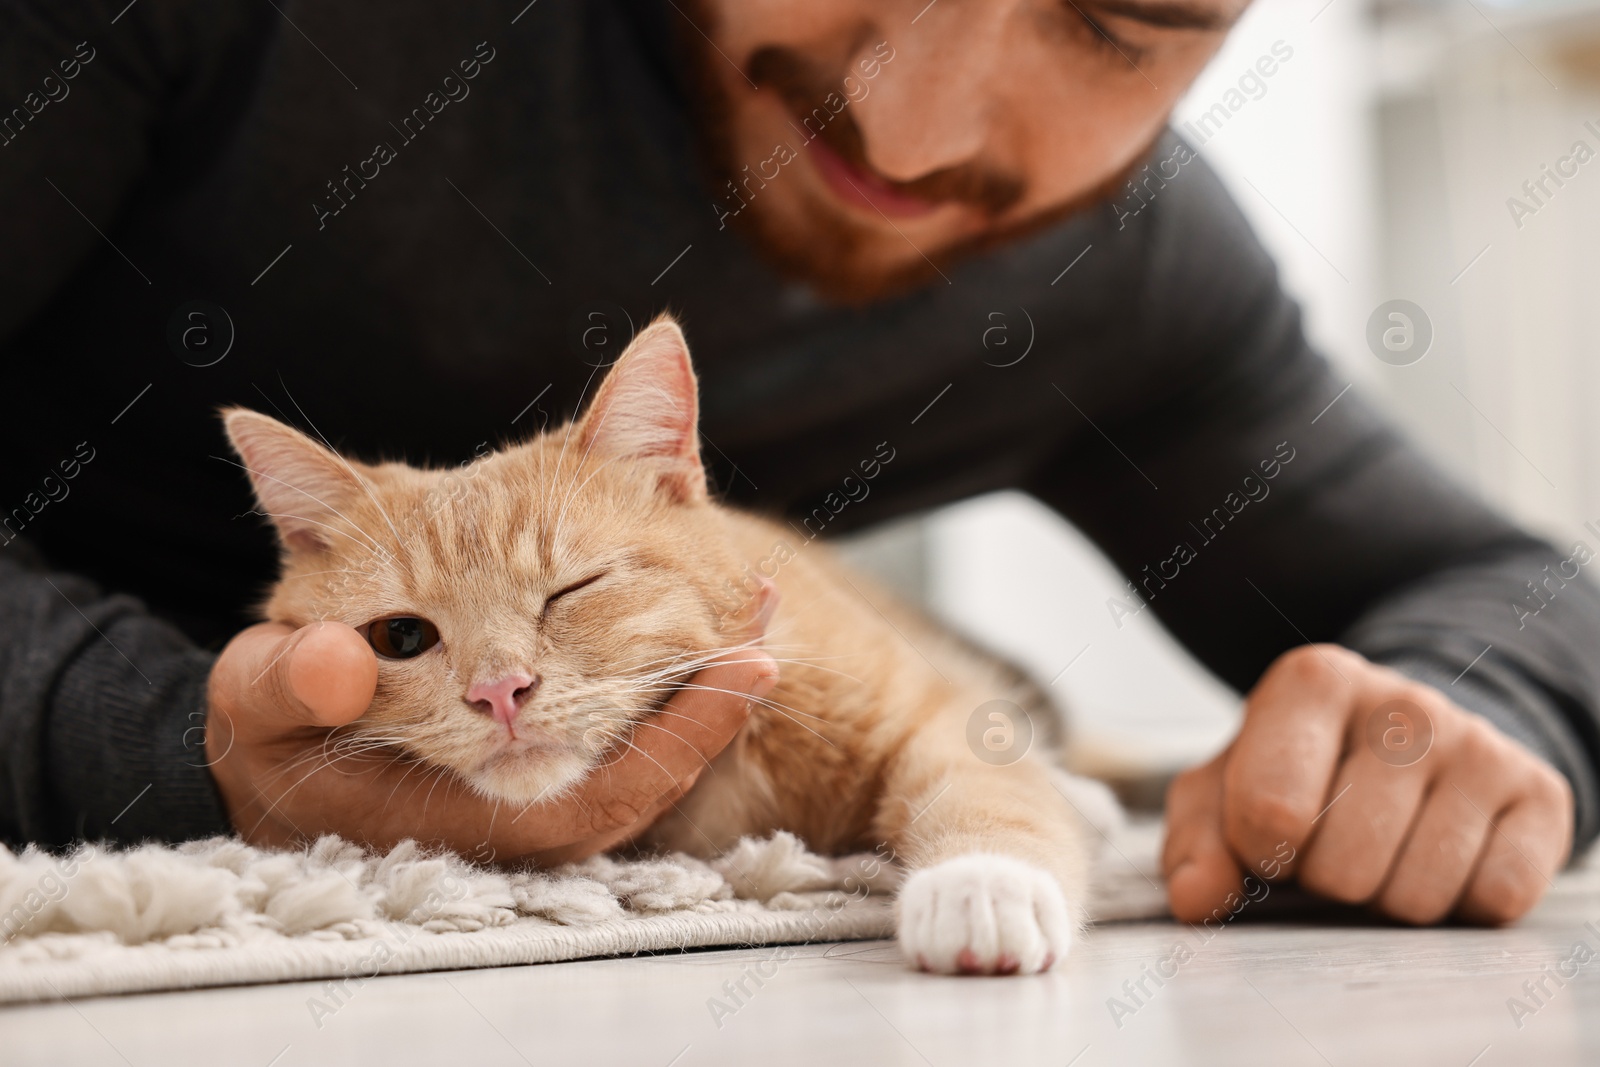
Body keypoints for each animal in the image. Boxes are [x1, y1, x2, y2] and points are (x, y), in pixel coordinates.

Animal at [225, 316, 1094, 979]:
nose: (499, 690)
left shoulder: (940, 710)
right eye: (402, 636)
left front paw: (982, 884)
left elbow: (987, 786)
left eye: (571, 590)